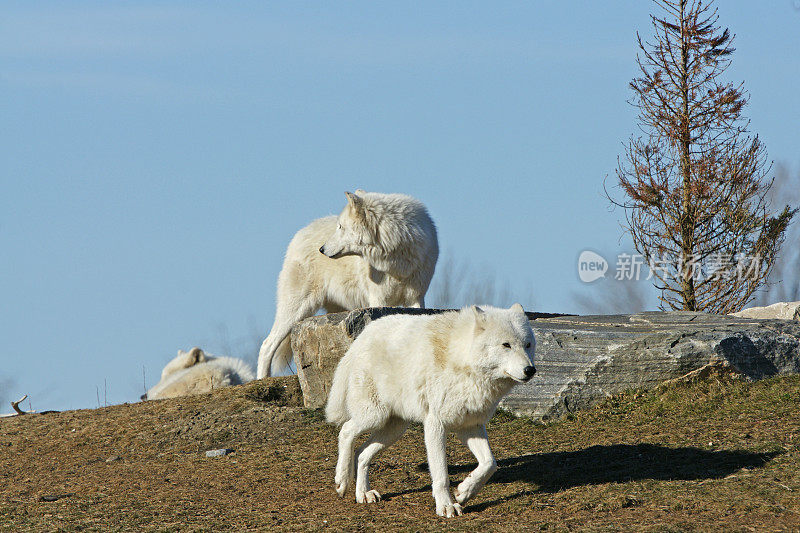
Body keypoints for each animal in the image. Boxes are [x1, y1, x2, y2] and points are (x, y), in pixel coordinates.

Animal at [258, 191, 438, 378]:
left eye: (341, 227)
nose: (321, 249)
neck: (396, 262)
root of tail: (300, 233)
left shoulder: (416, 298)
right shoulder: (378, 300)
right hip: (297, 308)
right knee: (266, 344)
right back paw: (262, 378)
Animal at [322, 304, 536, 516]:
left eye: (527, 345)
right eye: (506, 345)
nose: (530, 370)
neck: (463, 359)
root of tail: (362, 336)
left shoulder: (470, 426)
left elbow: (490, 464)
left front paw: (464, 492)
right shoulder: (435, 424)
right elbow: (441, 474)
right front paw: (446, 506)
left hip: (395, 429)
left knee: (361, 453)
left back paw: (363, 494)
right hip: (374, 417)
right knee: (346, 431)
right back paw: (342, 481)